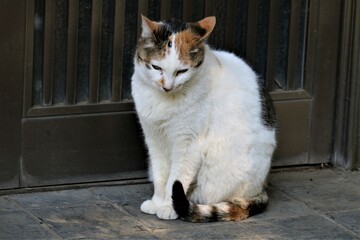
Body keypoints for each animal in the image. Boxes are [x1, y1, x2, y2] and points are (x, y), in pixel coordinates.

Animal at [131, 14, 278, 221]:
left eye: (182, 71)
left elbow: (176, 178)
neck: (163, 100)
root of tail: (262, 186)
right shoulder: (154, 138)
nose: (167, 86)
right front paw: (157, 201)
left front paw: (167, 206)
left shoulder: (188, 143)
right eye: (156, 67)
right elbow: (161, 175)